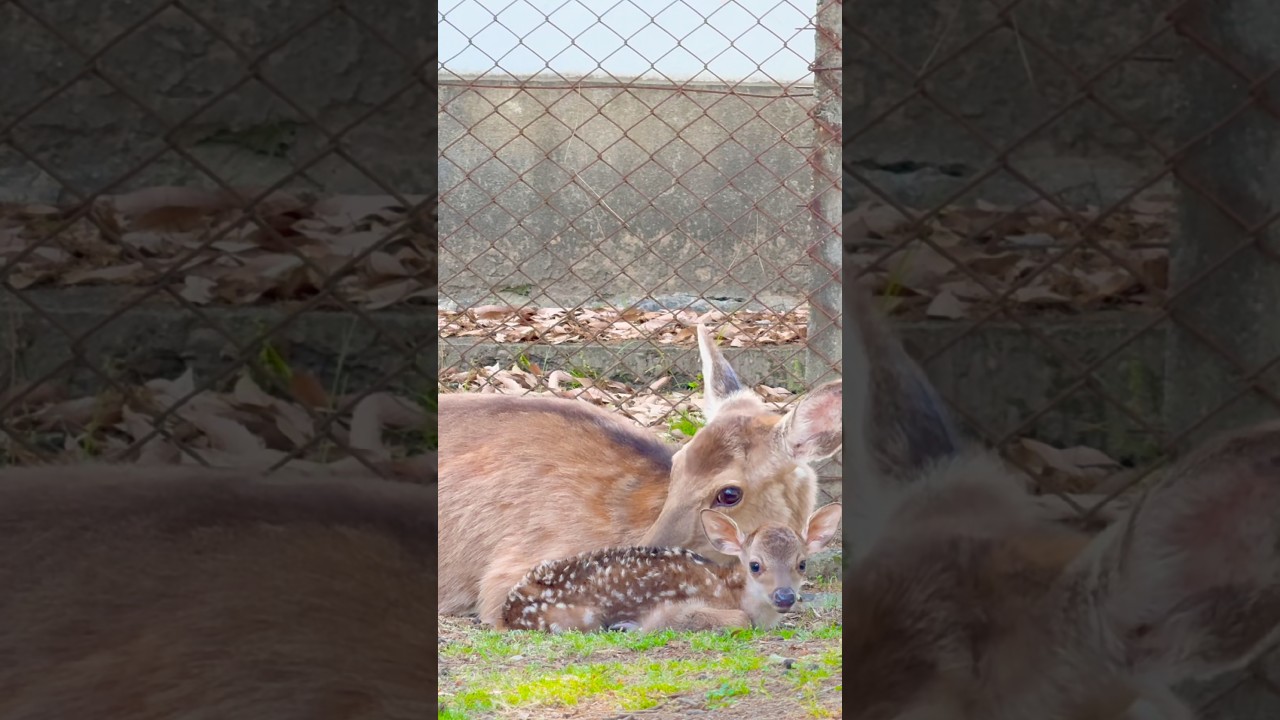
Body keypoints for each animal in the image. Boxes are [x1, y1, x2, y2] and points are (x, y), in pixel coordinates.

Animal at [502, 501, 842, 633]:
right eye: (755, 565)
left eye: (802, 563)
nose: (784, 596)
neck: (731, 591)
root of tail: (509, 608)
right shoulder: (676, 608)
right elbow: (739, 619)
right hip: (577, 617)